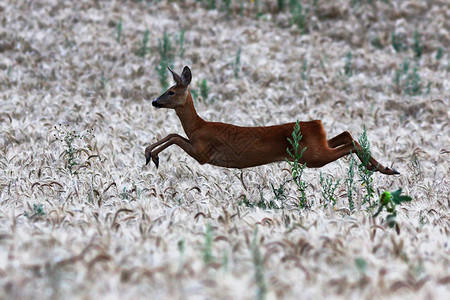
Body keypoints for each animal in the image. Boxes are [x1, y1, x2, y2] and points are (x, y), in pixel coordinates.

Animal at [143, 64, 398, 175]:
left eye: (171, 92)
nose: (154, 102)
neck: (198, 126)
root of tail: (316, 124)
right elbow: (174, 134)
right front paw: (149, 155)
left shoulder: (203, 153)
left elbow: (175, 136)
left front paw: (151, 156)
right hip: (317, 148)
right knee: (346, 135)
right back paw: (383, 167)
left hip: (312, 156)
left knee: (349, 144)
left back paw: (383, 168)